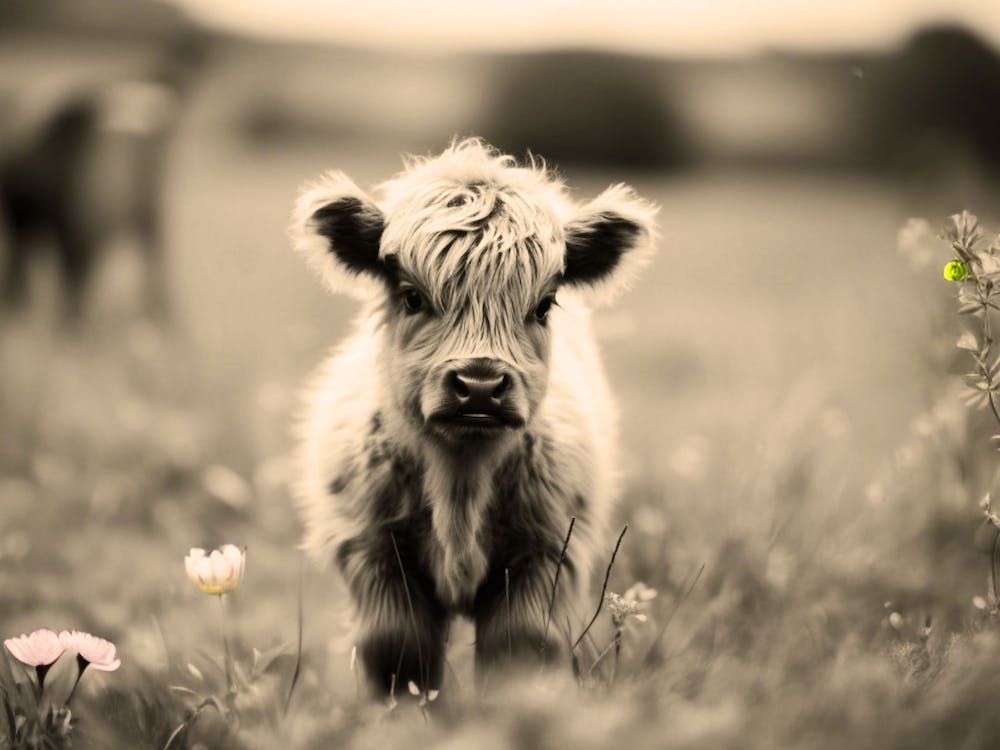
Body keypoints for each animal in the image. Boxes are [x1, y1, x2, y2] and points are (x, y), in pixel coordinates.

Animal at [289, 139, 657, 697]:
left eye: (544, 304)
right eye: (412, 296)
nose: (480, 385)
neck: (459, 481)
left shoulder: (544, 554)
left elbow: (517, 650)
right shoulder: (373, 551)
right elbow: (399, 652)